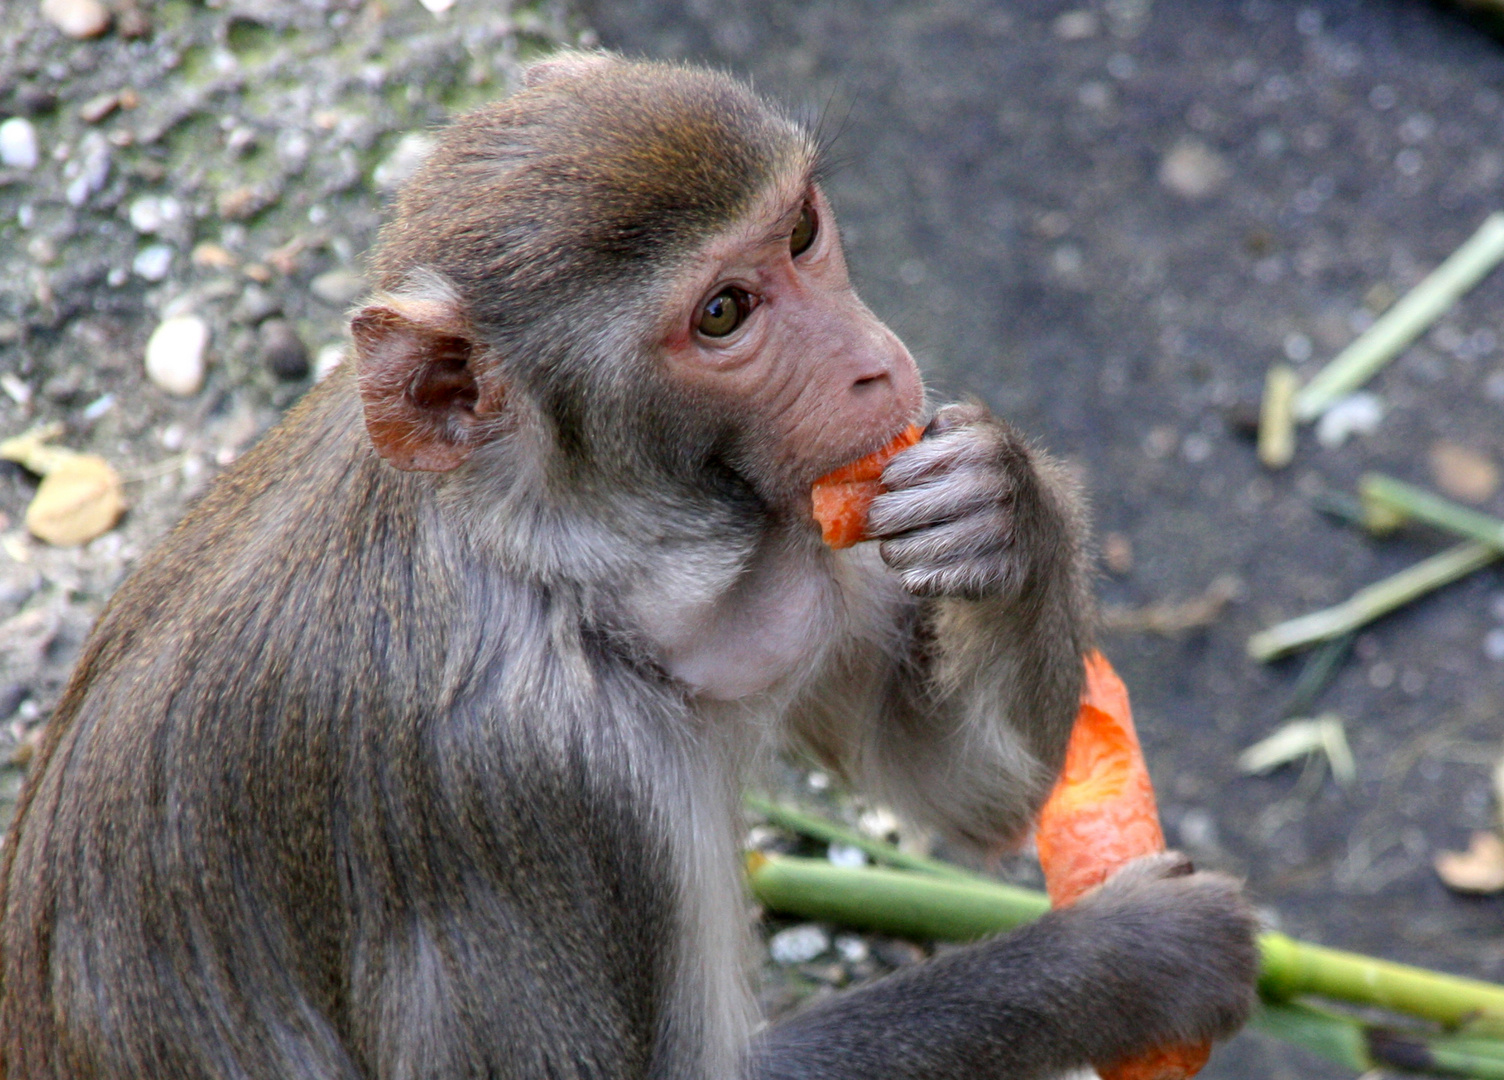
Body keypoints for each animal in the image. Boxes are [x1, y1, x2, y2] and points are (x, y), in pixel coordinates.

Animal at [0, 50, 1257, 1080]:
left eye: (801, 233)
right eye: (722, 314)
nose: (871, 368)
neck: (564, 566)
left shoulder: (804, 533)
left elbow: (965, 788)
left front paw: (1000, 506)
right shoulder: (528, 789)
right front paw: (1131, 963)